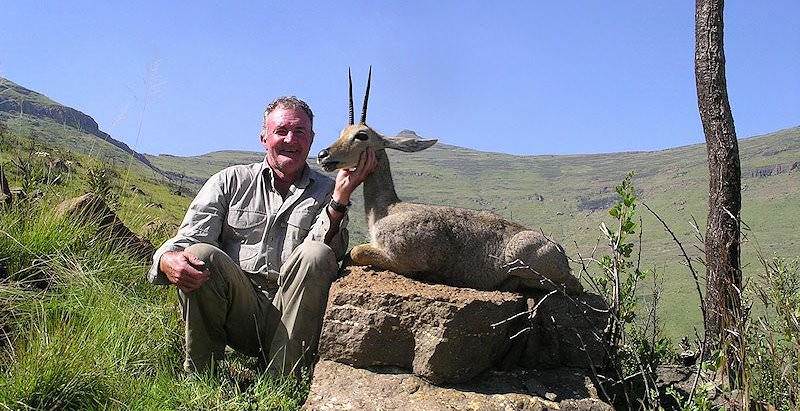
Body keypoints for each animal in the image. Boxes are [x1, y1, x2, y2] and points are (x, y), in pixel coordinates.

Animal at [318, 68, 580, 292]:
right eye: (342, 132)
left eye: (361, 135)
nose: (323, 155)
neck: (387, 209)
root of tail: (560, 253)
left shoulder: (398, 258)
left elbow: (355, 252)